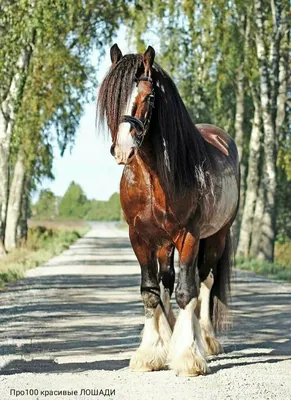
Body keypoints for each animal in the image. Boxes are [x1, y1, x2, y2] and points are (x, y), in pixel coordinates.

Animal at [97, 45, 240, 376]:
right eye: (112, 97)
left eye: (148, 96)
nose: (122, 149)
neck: (154, 176)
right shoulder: (139, 238)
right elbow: (150, 291)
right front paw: (150, 353)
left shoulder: (188, 236)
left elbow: (187, 292)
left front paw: (188, 356)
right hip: (164, 244)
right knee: (167, 282)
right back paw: (172, 333)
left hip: (216, 237)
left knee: (204, 281)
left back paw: (205, 340)